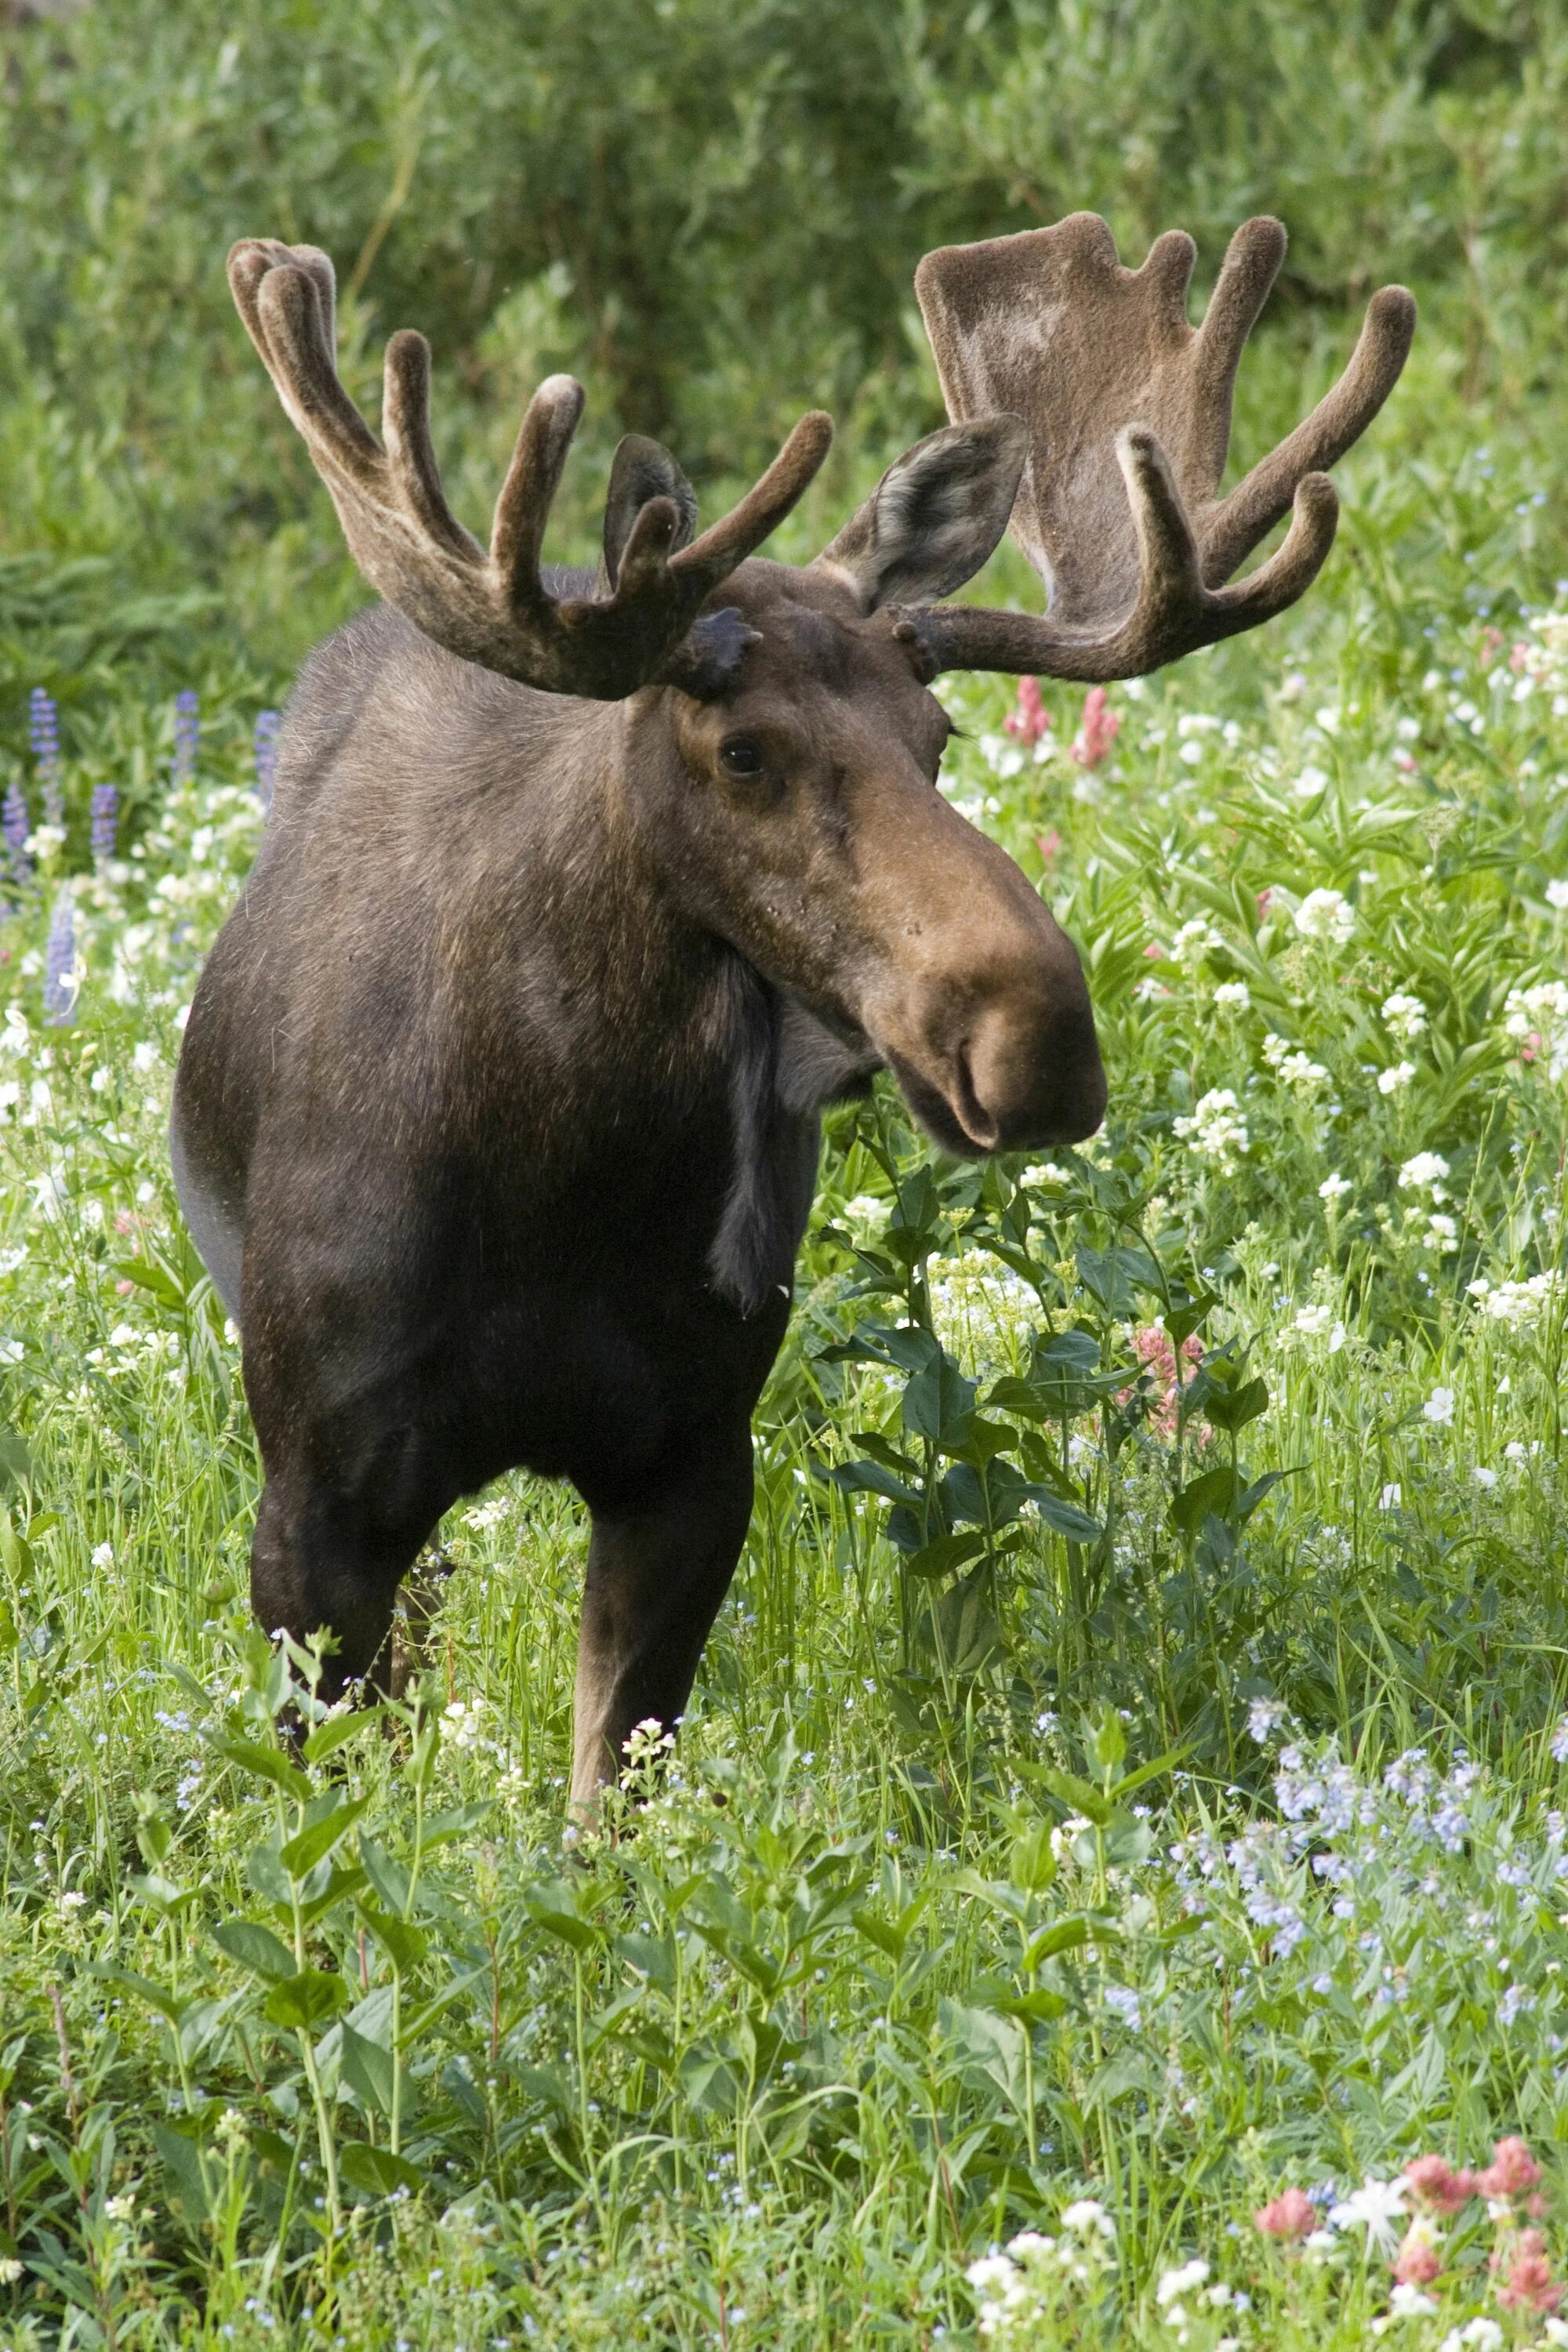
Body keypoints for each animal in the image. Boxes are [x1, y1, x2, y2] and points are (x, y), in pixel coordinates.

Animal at [171, 212, 1410, 1806]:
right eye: (743, 751)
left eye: (938, 733)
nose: (1040, 1040)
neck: (563, 1179)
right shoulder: (316, 1491)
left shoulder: (696, 1454)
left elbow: (612, 1793)